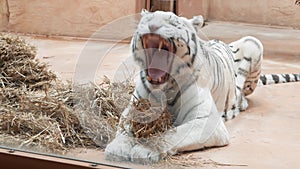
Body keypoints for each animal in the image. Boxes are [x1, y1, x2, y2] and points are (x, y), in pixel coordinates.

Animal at [104, 9, 298, 163]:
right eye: (147, 20)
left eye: (172, 22)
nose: (152, 26)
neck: (165, 87)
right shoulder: (132, 108)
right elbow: (124, 127)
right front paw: (118, 147)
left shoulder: (208, 122)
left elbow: (172, 134)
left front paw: (144, 149)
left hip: (253, 42)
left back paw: (239, 104)